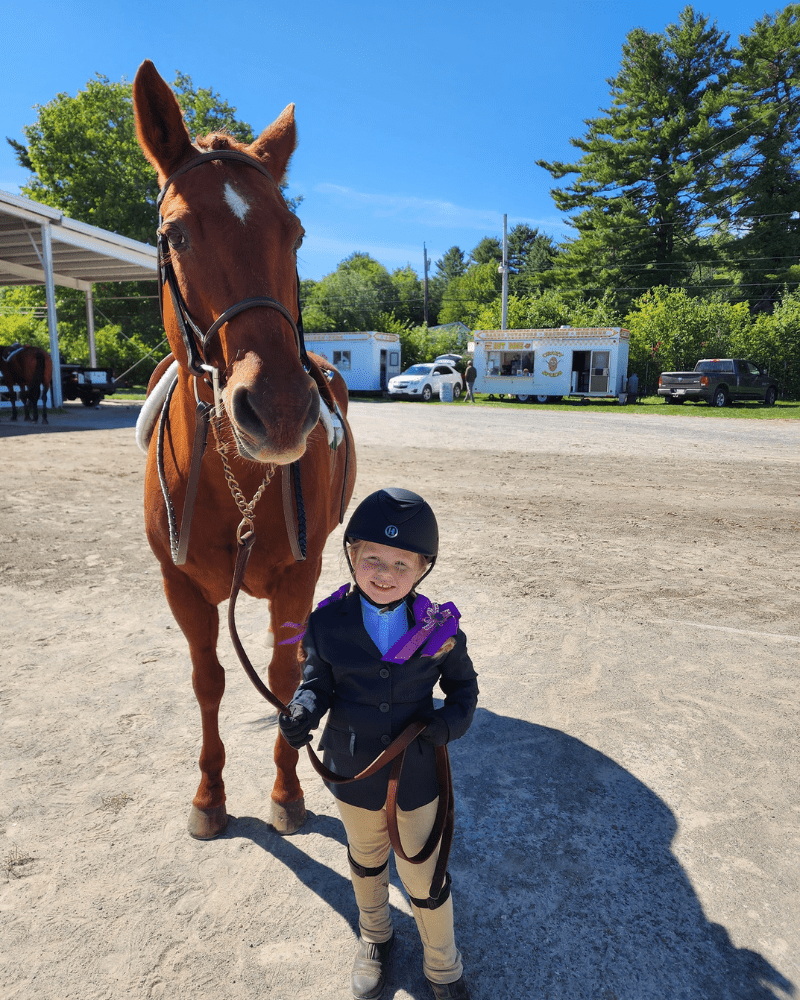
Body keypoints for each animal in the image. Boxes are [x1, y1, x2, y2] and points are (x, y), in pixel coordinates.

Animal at [134, 58, 356, 840]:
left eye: (293, 232)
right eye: (175, 235)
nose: (282, 409)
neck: (236, 480)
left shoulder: (297, 574)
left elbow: (287, 679)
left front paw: (287, 792)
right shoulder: (180, 588)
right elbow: (209, 681)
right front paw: (209, 795)